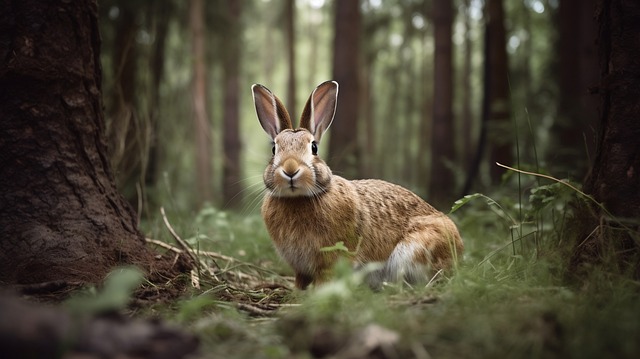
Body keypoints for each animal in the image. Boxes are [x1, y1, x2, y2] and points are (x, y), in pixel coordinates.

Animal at [249, 81, 460, 290]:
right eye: (274, 149)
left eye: (314, 147)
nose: (291, 169)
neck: (299, 198)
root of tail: (459, 248)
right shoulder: (300, 268)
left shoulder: (333, 258)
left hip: (415, 250)